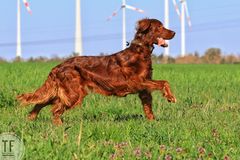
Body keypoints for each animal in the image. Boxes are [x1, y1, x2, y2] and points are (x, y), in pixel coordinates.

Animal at [16, 18, 176, 125]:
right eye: (160, 27)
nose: (174, 32)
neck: (140, 51)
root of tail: (57, 67)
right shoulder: (137, 82)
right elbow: (164, 82)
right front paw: (171, 97)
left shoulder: (144, 89)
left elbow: (148, 107)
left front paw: (153, 122)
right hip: (73, 94)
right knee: (54, 111)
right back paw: (60, 127)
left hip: (62, 93)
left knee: (40, 103)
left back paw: (30, 120)